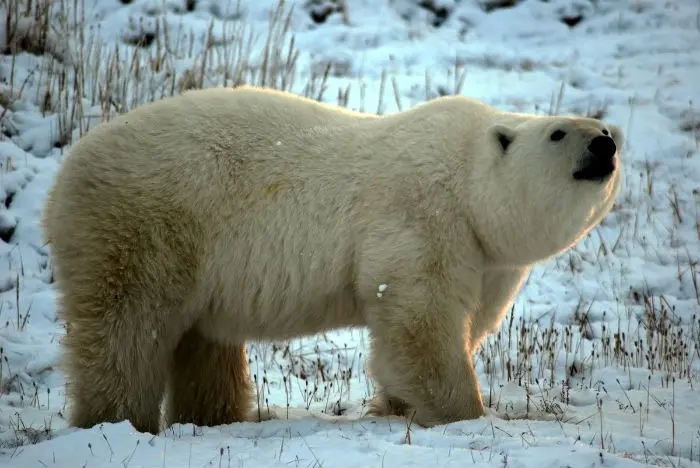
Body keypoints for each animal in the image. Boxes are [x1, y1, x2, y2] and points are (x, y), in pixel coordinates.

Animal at [42, 85, 624, 434]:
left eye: (602, 128)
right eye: (558, 131)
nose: (604, 145)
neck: (466, 180)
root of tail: (67, 173)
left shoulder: (490, 258)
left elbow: (469, 318)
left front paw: (396, 406)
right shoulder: (421, 212)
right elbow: (417, 320)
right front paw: (464, 415)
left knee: (200, 339)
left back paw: (223, 416)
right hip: (148, 223)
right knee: (128, 330)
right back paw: (117, 421)